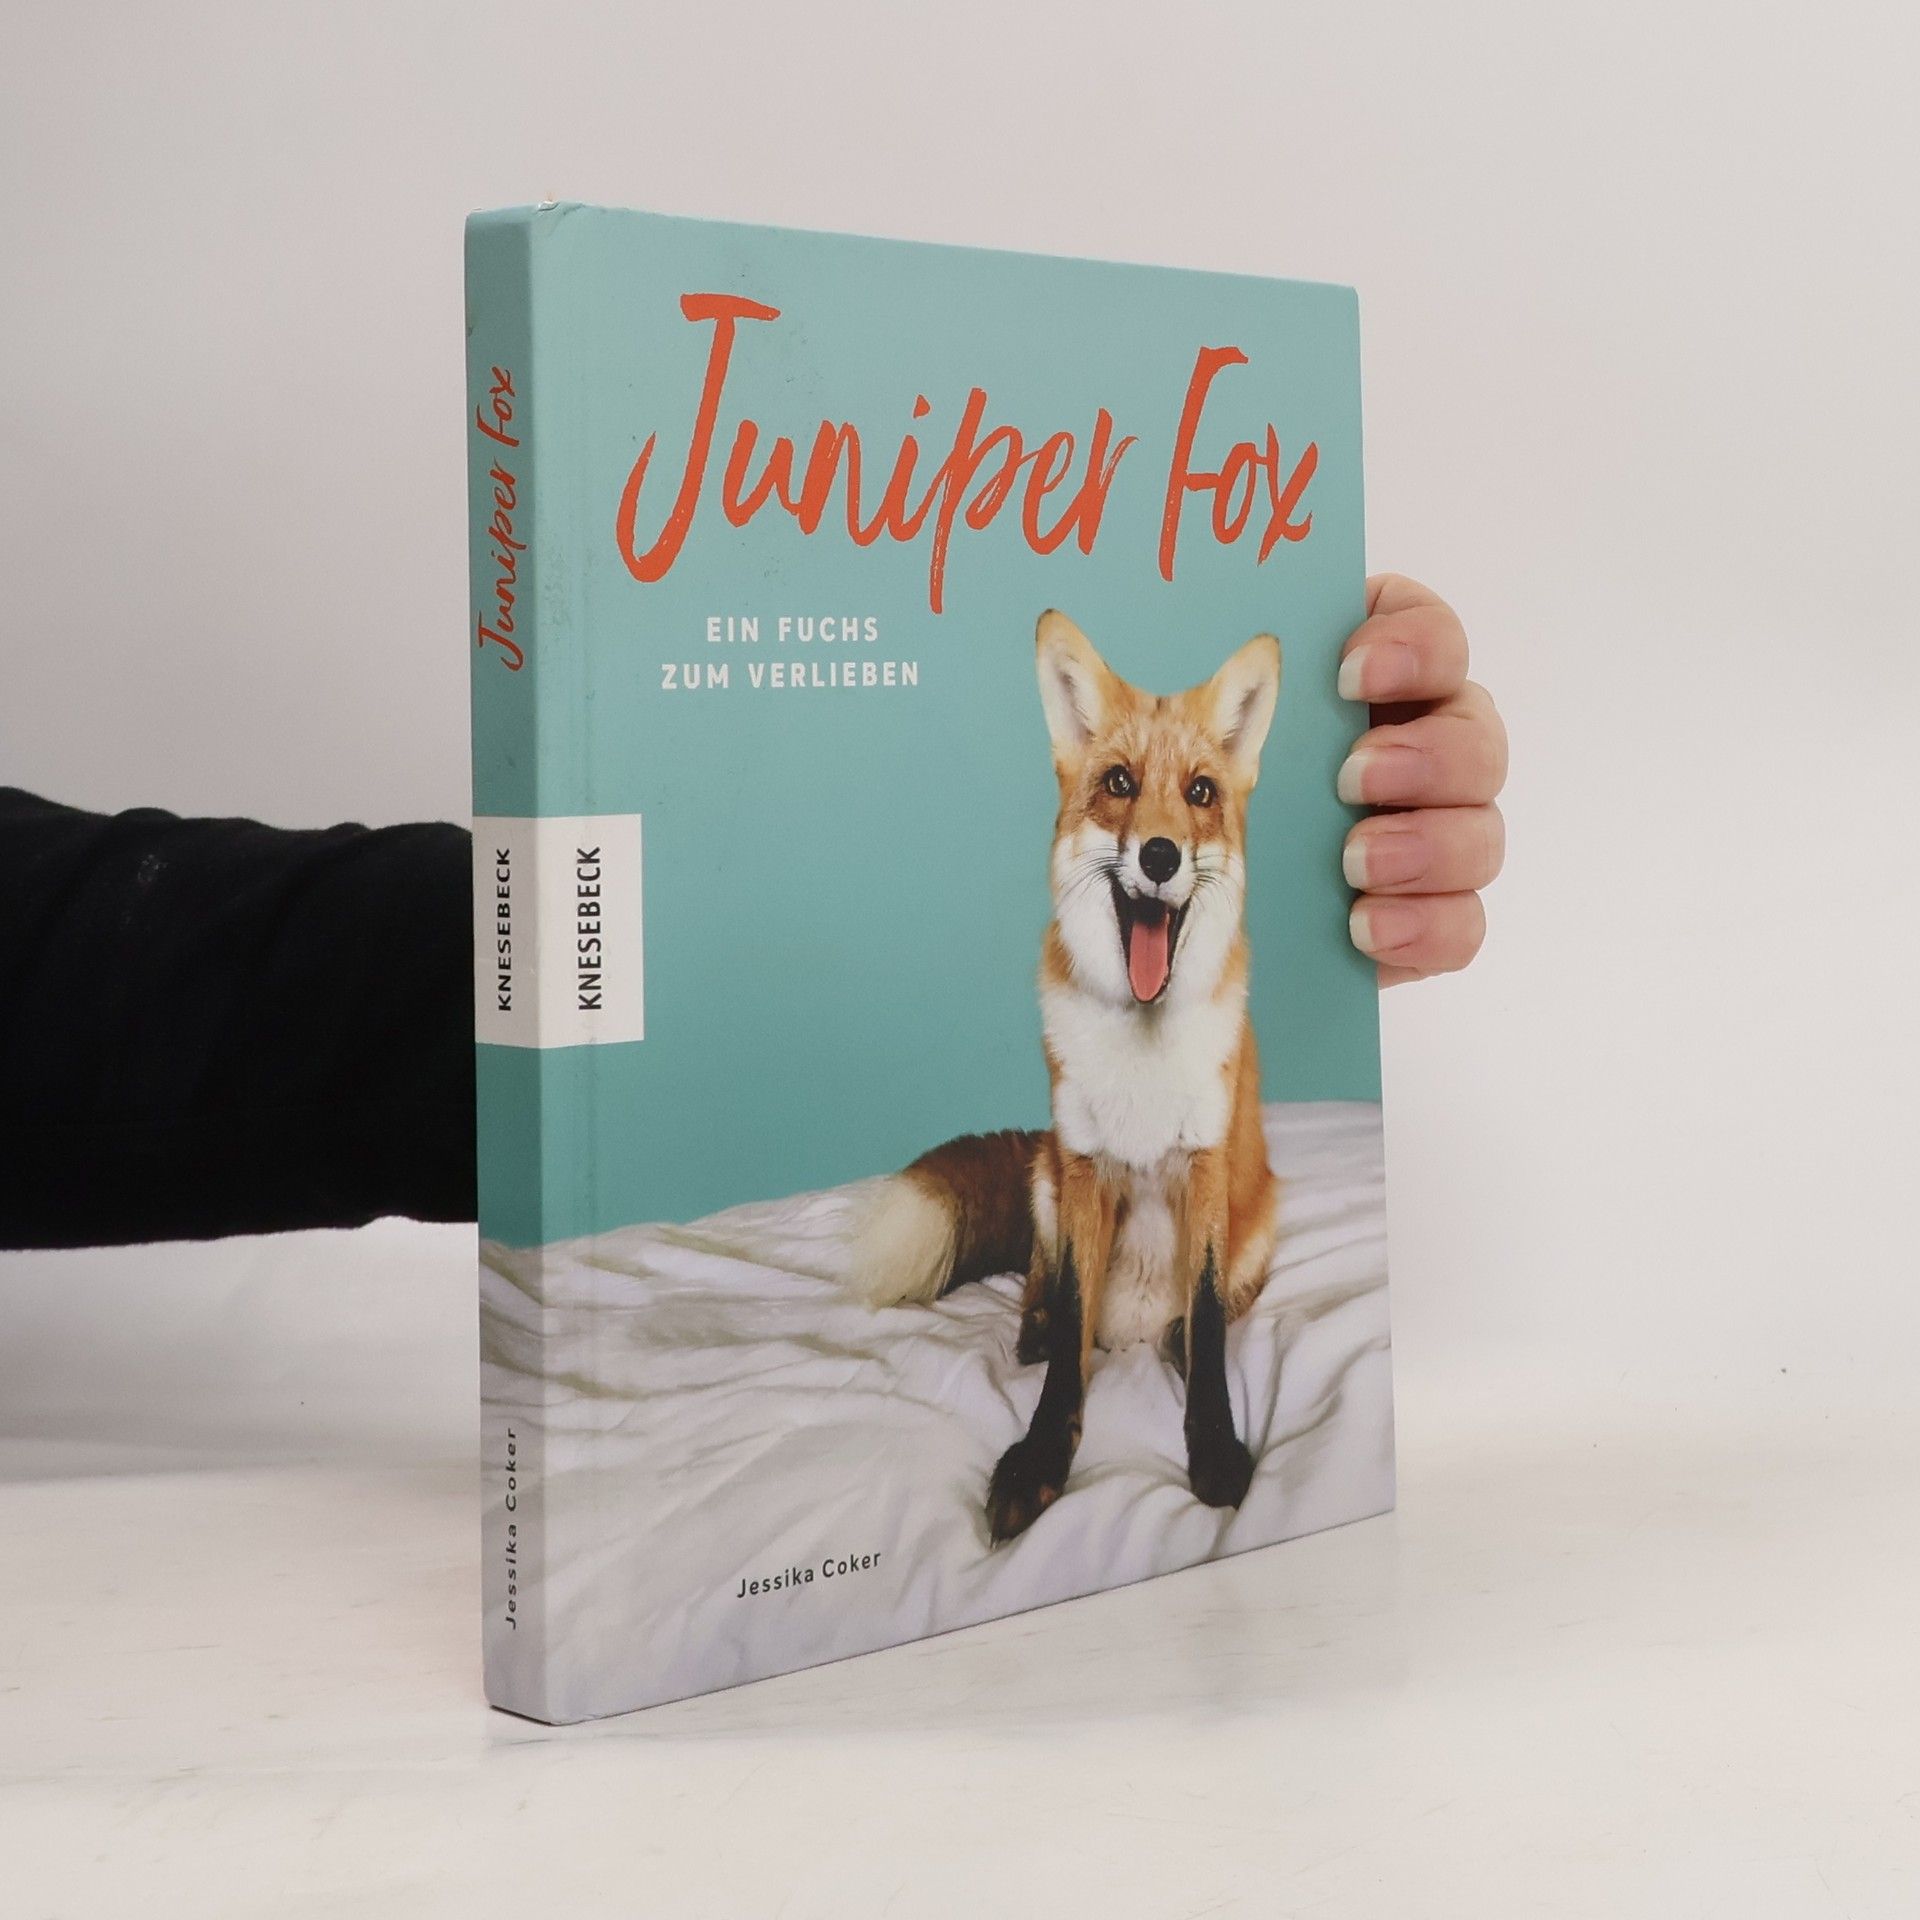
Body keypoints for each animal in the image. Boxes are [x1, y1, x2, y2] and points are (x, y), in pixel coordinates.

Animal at [848, 609, 1285, 1543]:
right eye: (1120, 782)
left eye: (1200, 793)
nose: (1159, 855)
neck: (1142, 1049)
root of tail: (1134, 1328)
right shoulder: (1083, 1166)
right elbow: (1070, 1341)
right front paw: (1043, 1454)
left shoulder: (1204, 1167)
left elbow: (1208, 1339)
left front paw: (1213, 1446)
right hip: (1045, 1175)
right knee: (1043, 1291)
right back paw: (1043, 1331)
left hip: (1261, 1212)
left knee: (1206, 1316)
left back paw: (1172, 1338)